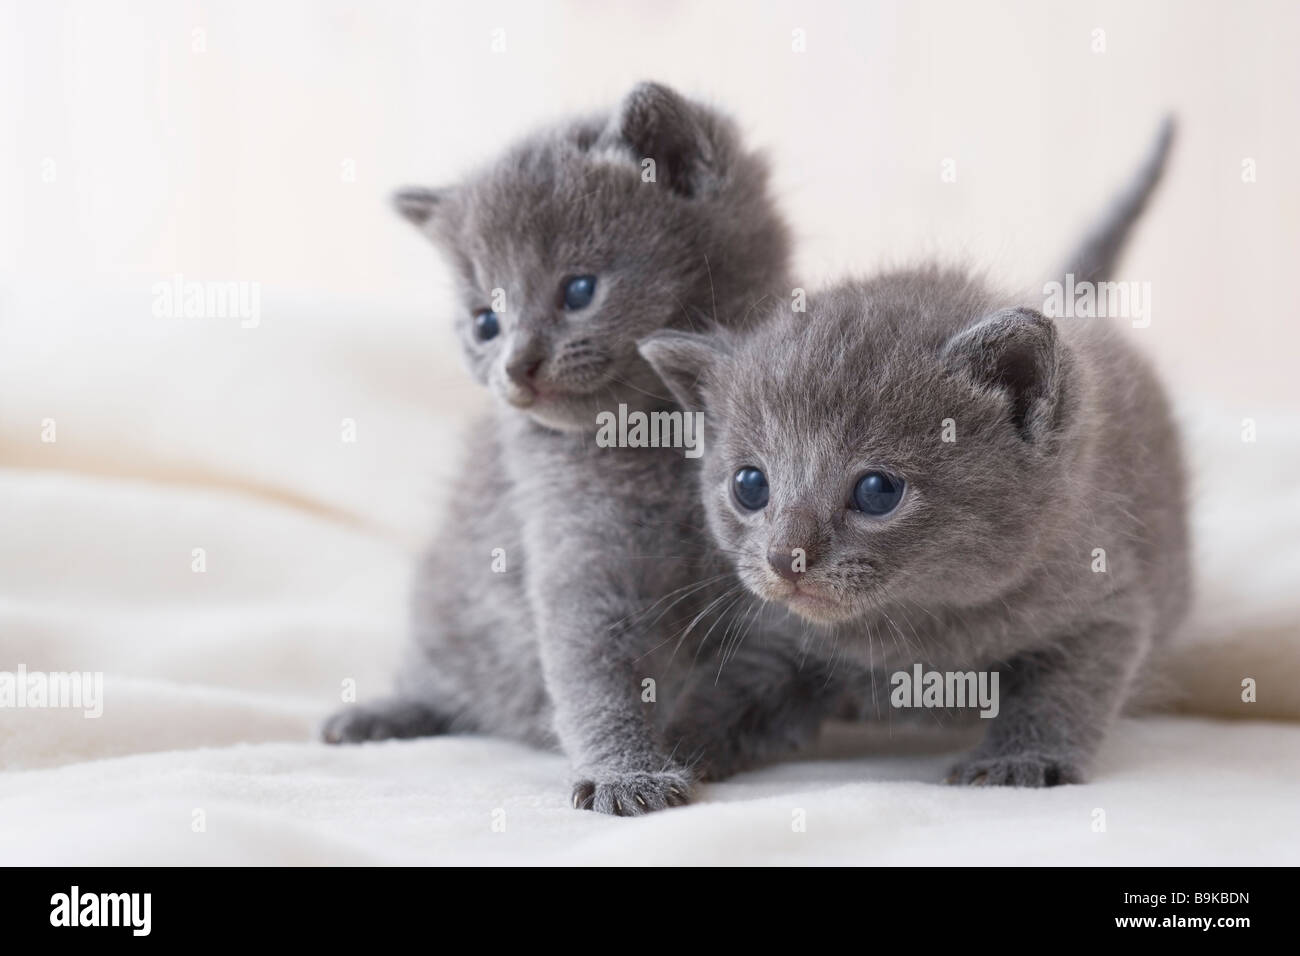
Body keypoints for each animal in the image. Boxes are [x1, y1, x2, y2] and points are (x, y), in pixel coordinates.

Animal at [325, 83, 790, 816]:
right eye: (485, 322)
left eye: (579, 290)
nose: (515, 365)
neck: (653, 442)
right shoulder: (574, 545)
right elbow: (592, 667)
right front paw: (628, 773)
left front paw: (710, 742)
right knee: (438, 679)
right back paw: (379, 714)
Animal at [642, 119, 1190, 785]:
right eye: (750, 486)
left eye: (878, 491)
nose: (783, 559)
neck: (912, 630)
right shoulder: (778, 637)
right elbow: (728, 691)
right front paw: (663, 755)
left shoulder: (1105, 605)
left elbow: (1063, 690)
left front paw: (1020, 759)